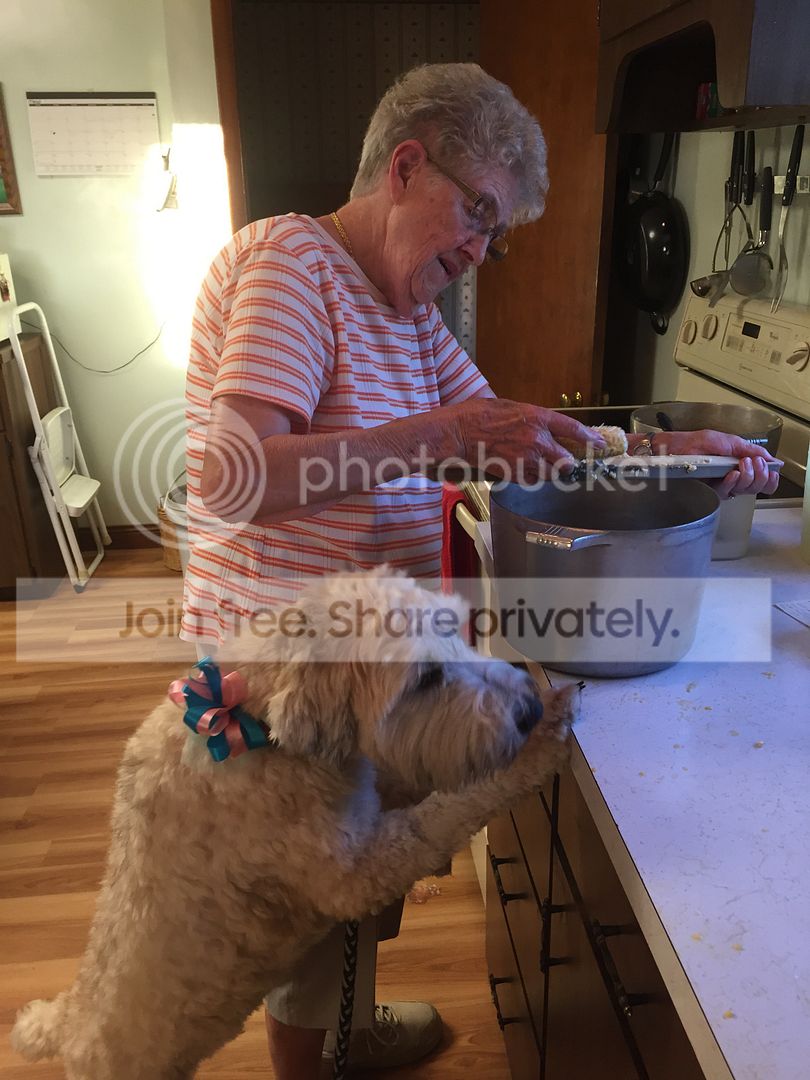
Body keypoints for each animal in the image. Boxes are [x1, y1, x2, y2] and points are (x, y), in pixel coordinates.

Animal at [11, 568, 577, 1078]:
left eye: (457, 630)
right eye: (426, 678)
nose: (526, 707)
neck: (257, 722)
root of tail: (69, 1024)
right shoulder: (357, 870)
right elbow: (444, 812)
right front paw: (536, 750)